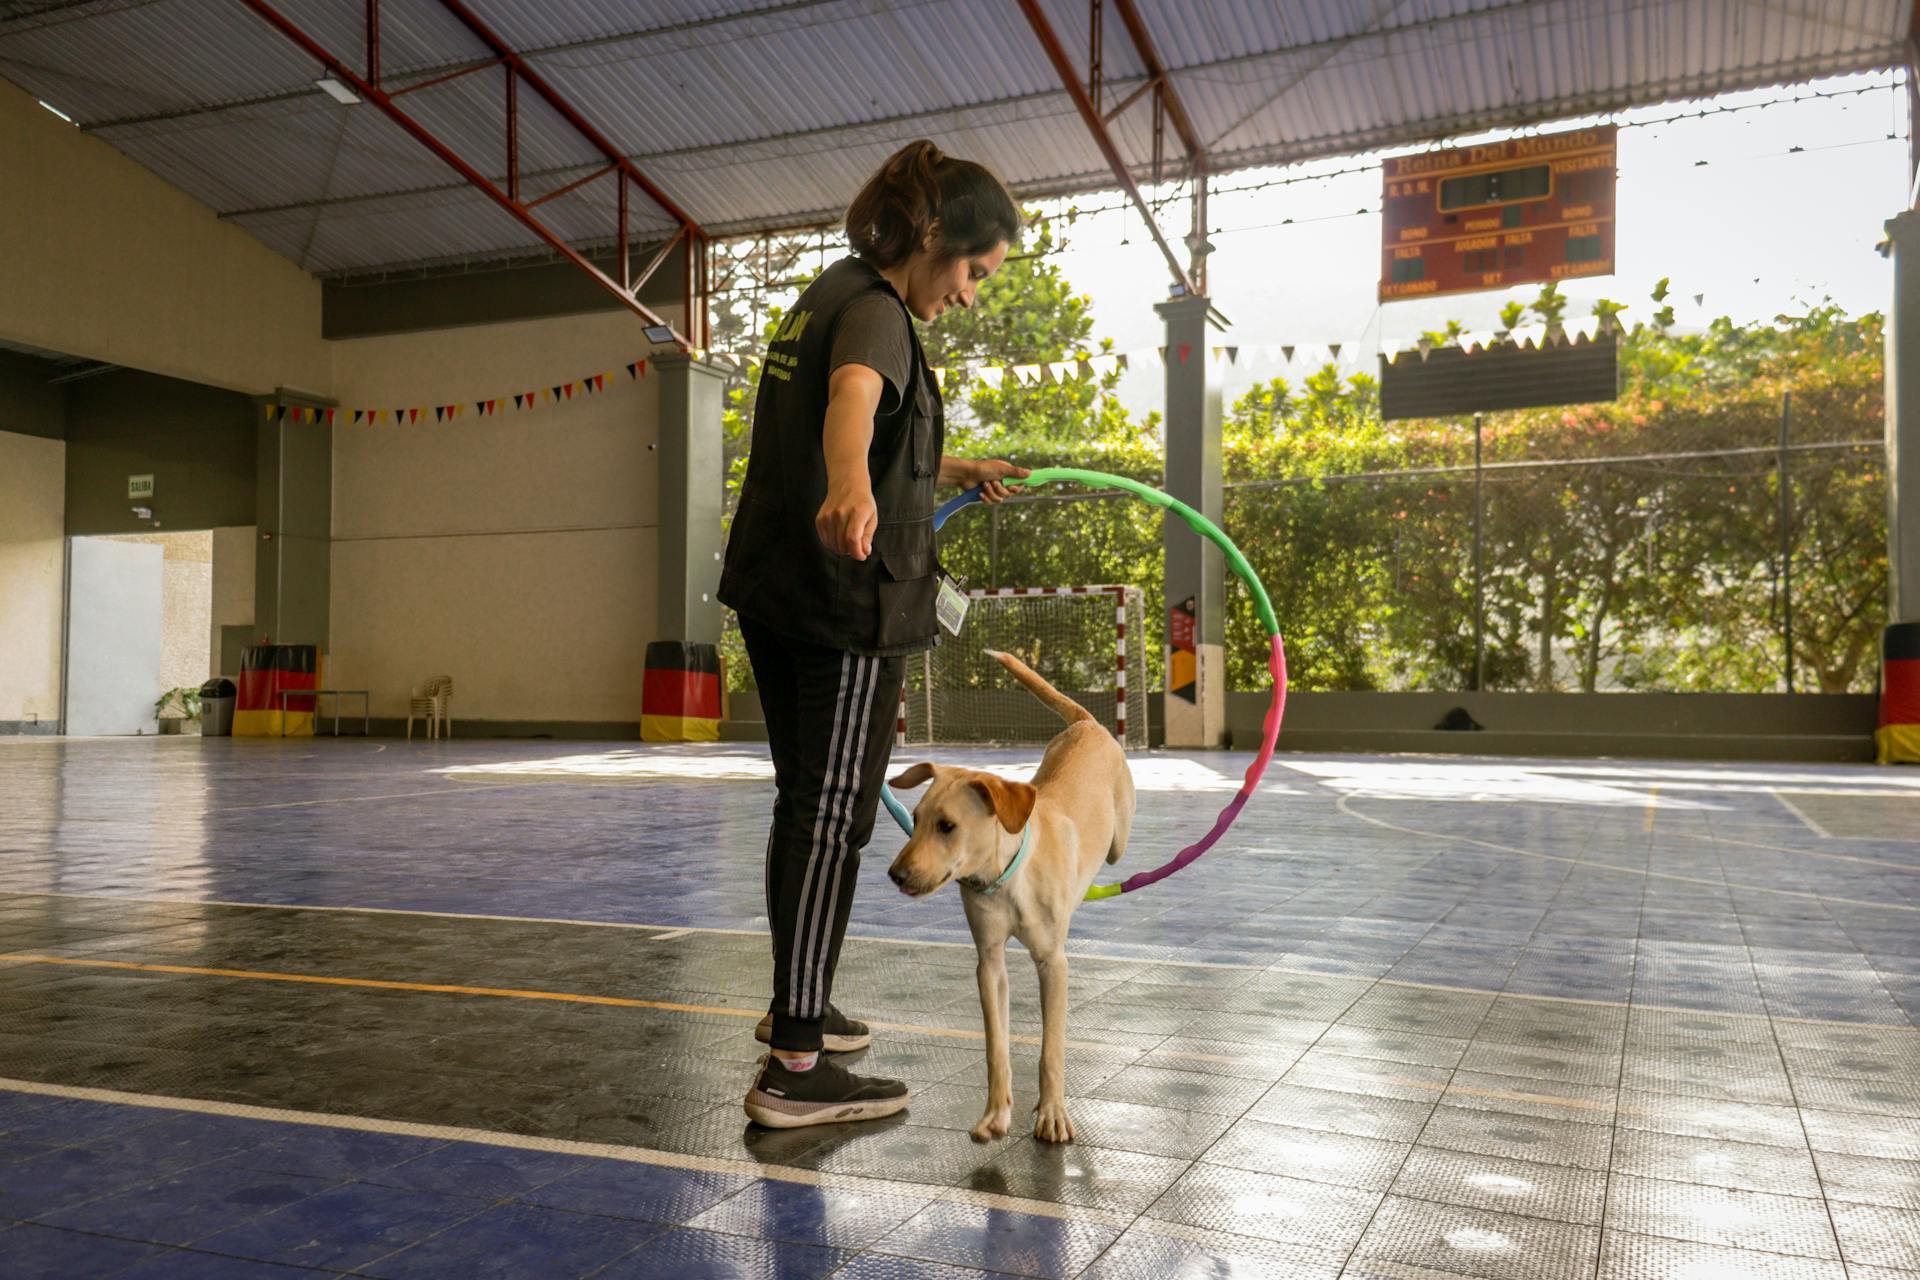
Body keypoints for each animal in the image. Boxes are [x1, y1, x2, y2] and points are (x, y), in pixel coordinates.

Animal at [887, 652, 1136, 1143]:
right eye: (917, 819)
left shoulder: (1053, 964)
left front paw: (1052, 1112)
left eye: (947, 825)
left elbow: (1052, 1048)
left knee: (1116, 848)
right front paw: (995, 1114)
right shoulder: (989, 963)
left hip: (1119, 837)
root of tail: (1089, 724)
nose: (895, 874)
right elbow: (996, 1047)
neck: (1007, 878)